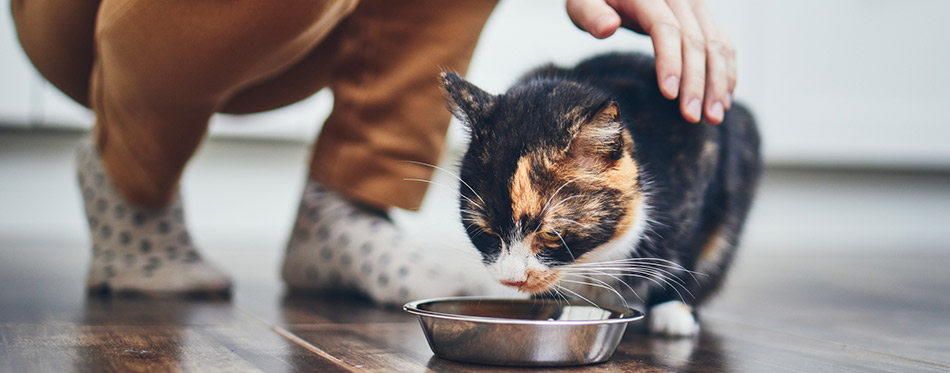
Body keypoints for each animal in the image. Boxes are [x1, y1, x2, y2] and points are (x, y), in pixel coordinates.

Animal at [442, 53, 764, 338]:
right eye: (485, 231)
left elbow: (688, 248)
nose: (512, 279)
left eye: (551, 235)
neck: (591, 259)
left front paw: (673, 309)